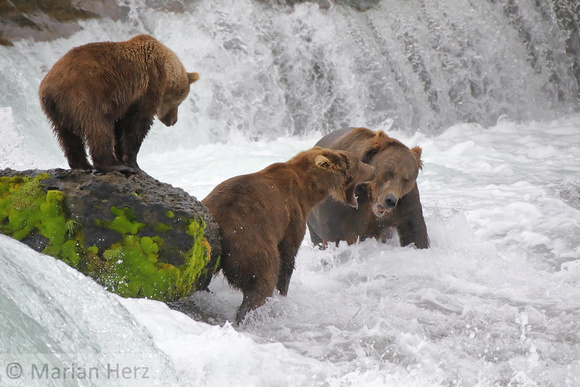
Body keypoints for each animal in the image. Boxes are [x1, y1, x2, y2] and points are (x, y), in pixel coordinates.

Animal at [39, 34, 199, 174]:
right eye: (180, 101)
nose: (173, 121)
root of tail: (49, 89)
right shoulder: (148, 86)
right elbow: (137, 123)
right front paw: (134, 164)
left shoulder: (123, 100)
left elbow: (120, 126)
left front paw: (122, 156)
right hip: (85, 96)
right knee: (98, 128)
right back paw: (112, 165)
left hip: (57, 111)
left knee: (67, 137)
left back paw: (83, 165)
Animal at [203, 146, 376, 324]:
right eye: (358, 162)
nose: (374, 170)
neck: (308, 190)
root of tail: (218, 223)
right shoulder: (292, 217)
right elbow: (287, 257)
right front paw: (282, 294)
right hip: (248, 241)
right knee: (262, 278)